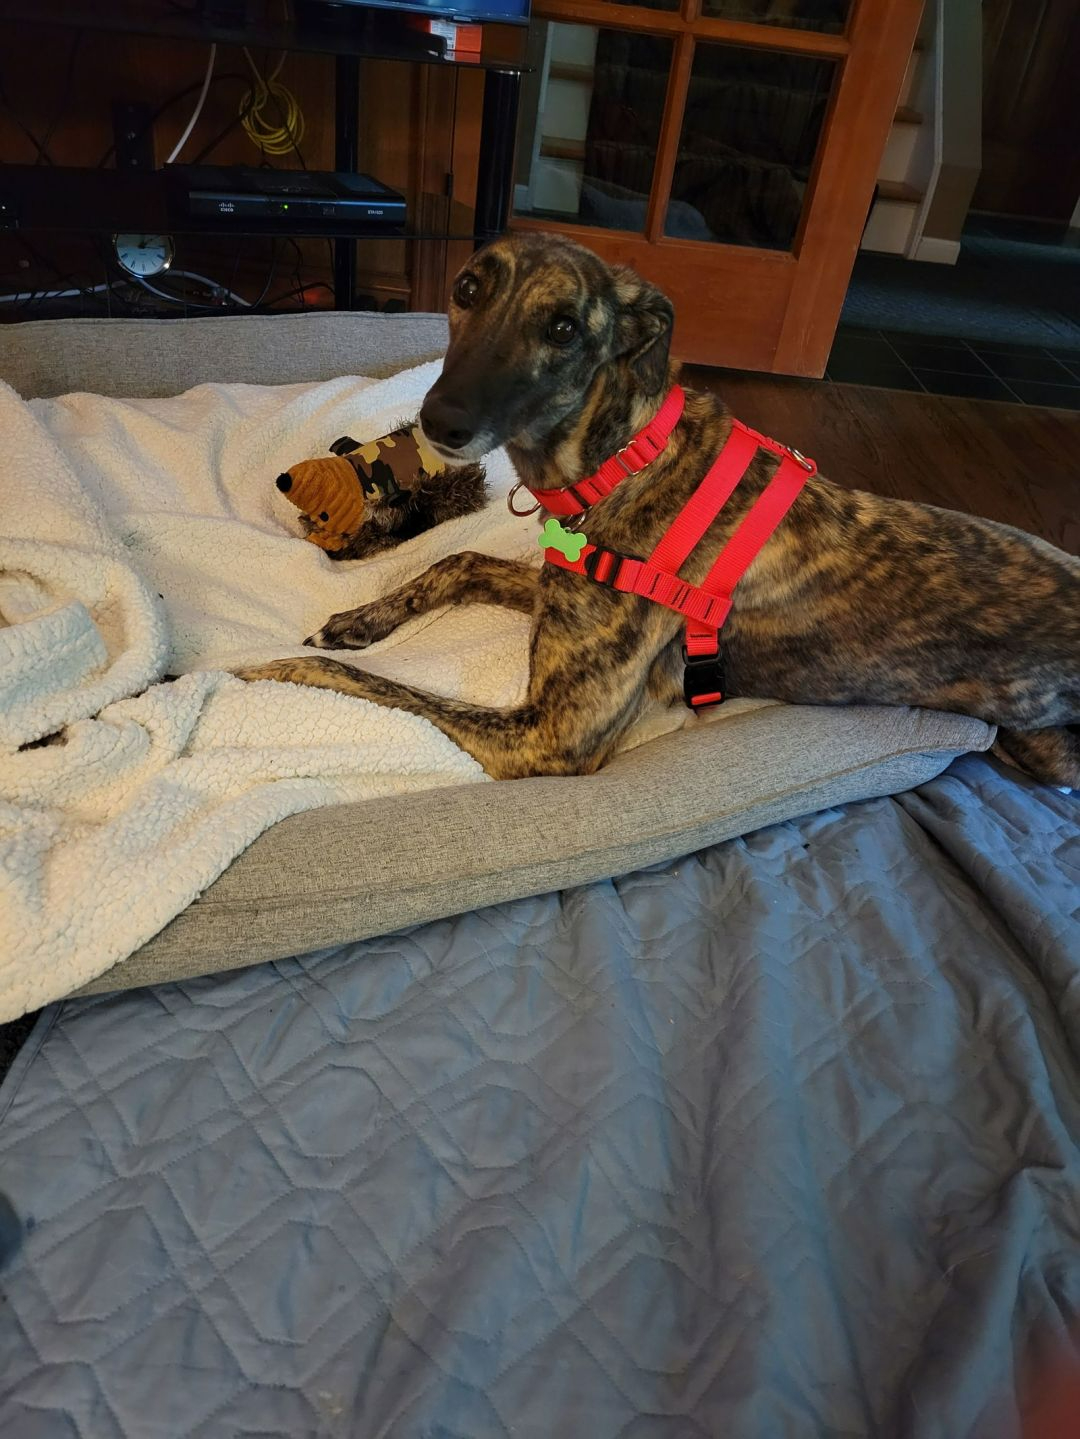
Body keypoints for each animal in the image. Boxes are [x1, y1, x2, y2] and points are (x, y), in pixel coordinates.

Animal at [237, 232, 1080, 787]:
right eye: (468, 288)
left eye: (564, 326)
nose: (440, 423)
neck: (623, 460)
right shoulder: (559, 585)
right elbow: (457, 558)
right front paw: (357, 621)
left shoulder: (552, 733)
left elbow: (376, 685)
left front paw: (264, 669)